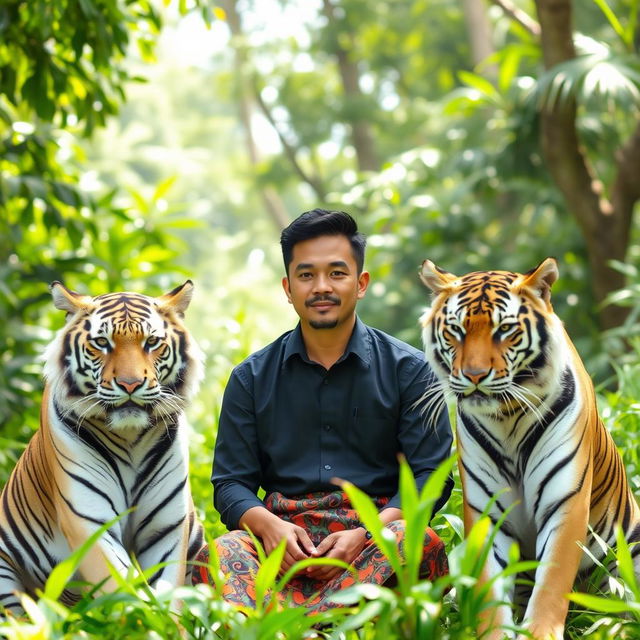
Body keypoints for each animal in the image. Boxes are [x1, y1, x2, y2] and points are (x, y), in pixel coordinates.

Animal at [0, 282, 204, 612]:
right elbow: (124, 594)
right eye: (101, 342)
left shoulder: (166, 528)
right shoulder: (90, 522)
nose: (130, 384)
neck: (130, 437)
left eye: (151, 342)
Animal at [418, 258, 640, 640]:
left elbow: (552, 580)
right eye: (456, 331)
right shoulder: (487, 510)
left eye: (504, 329)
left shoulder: (565, 502)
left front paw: (539, 633)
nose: (474, 375)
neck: (507, 416)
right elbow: (490, 585)